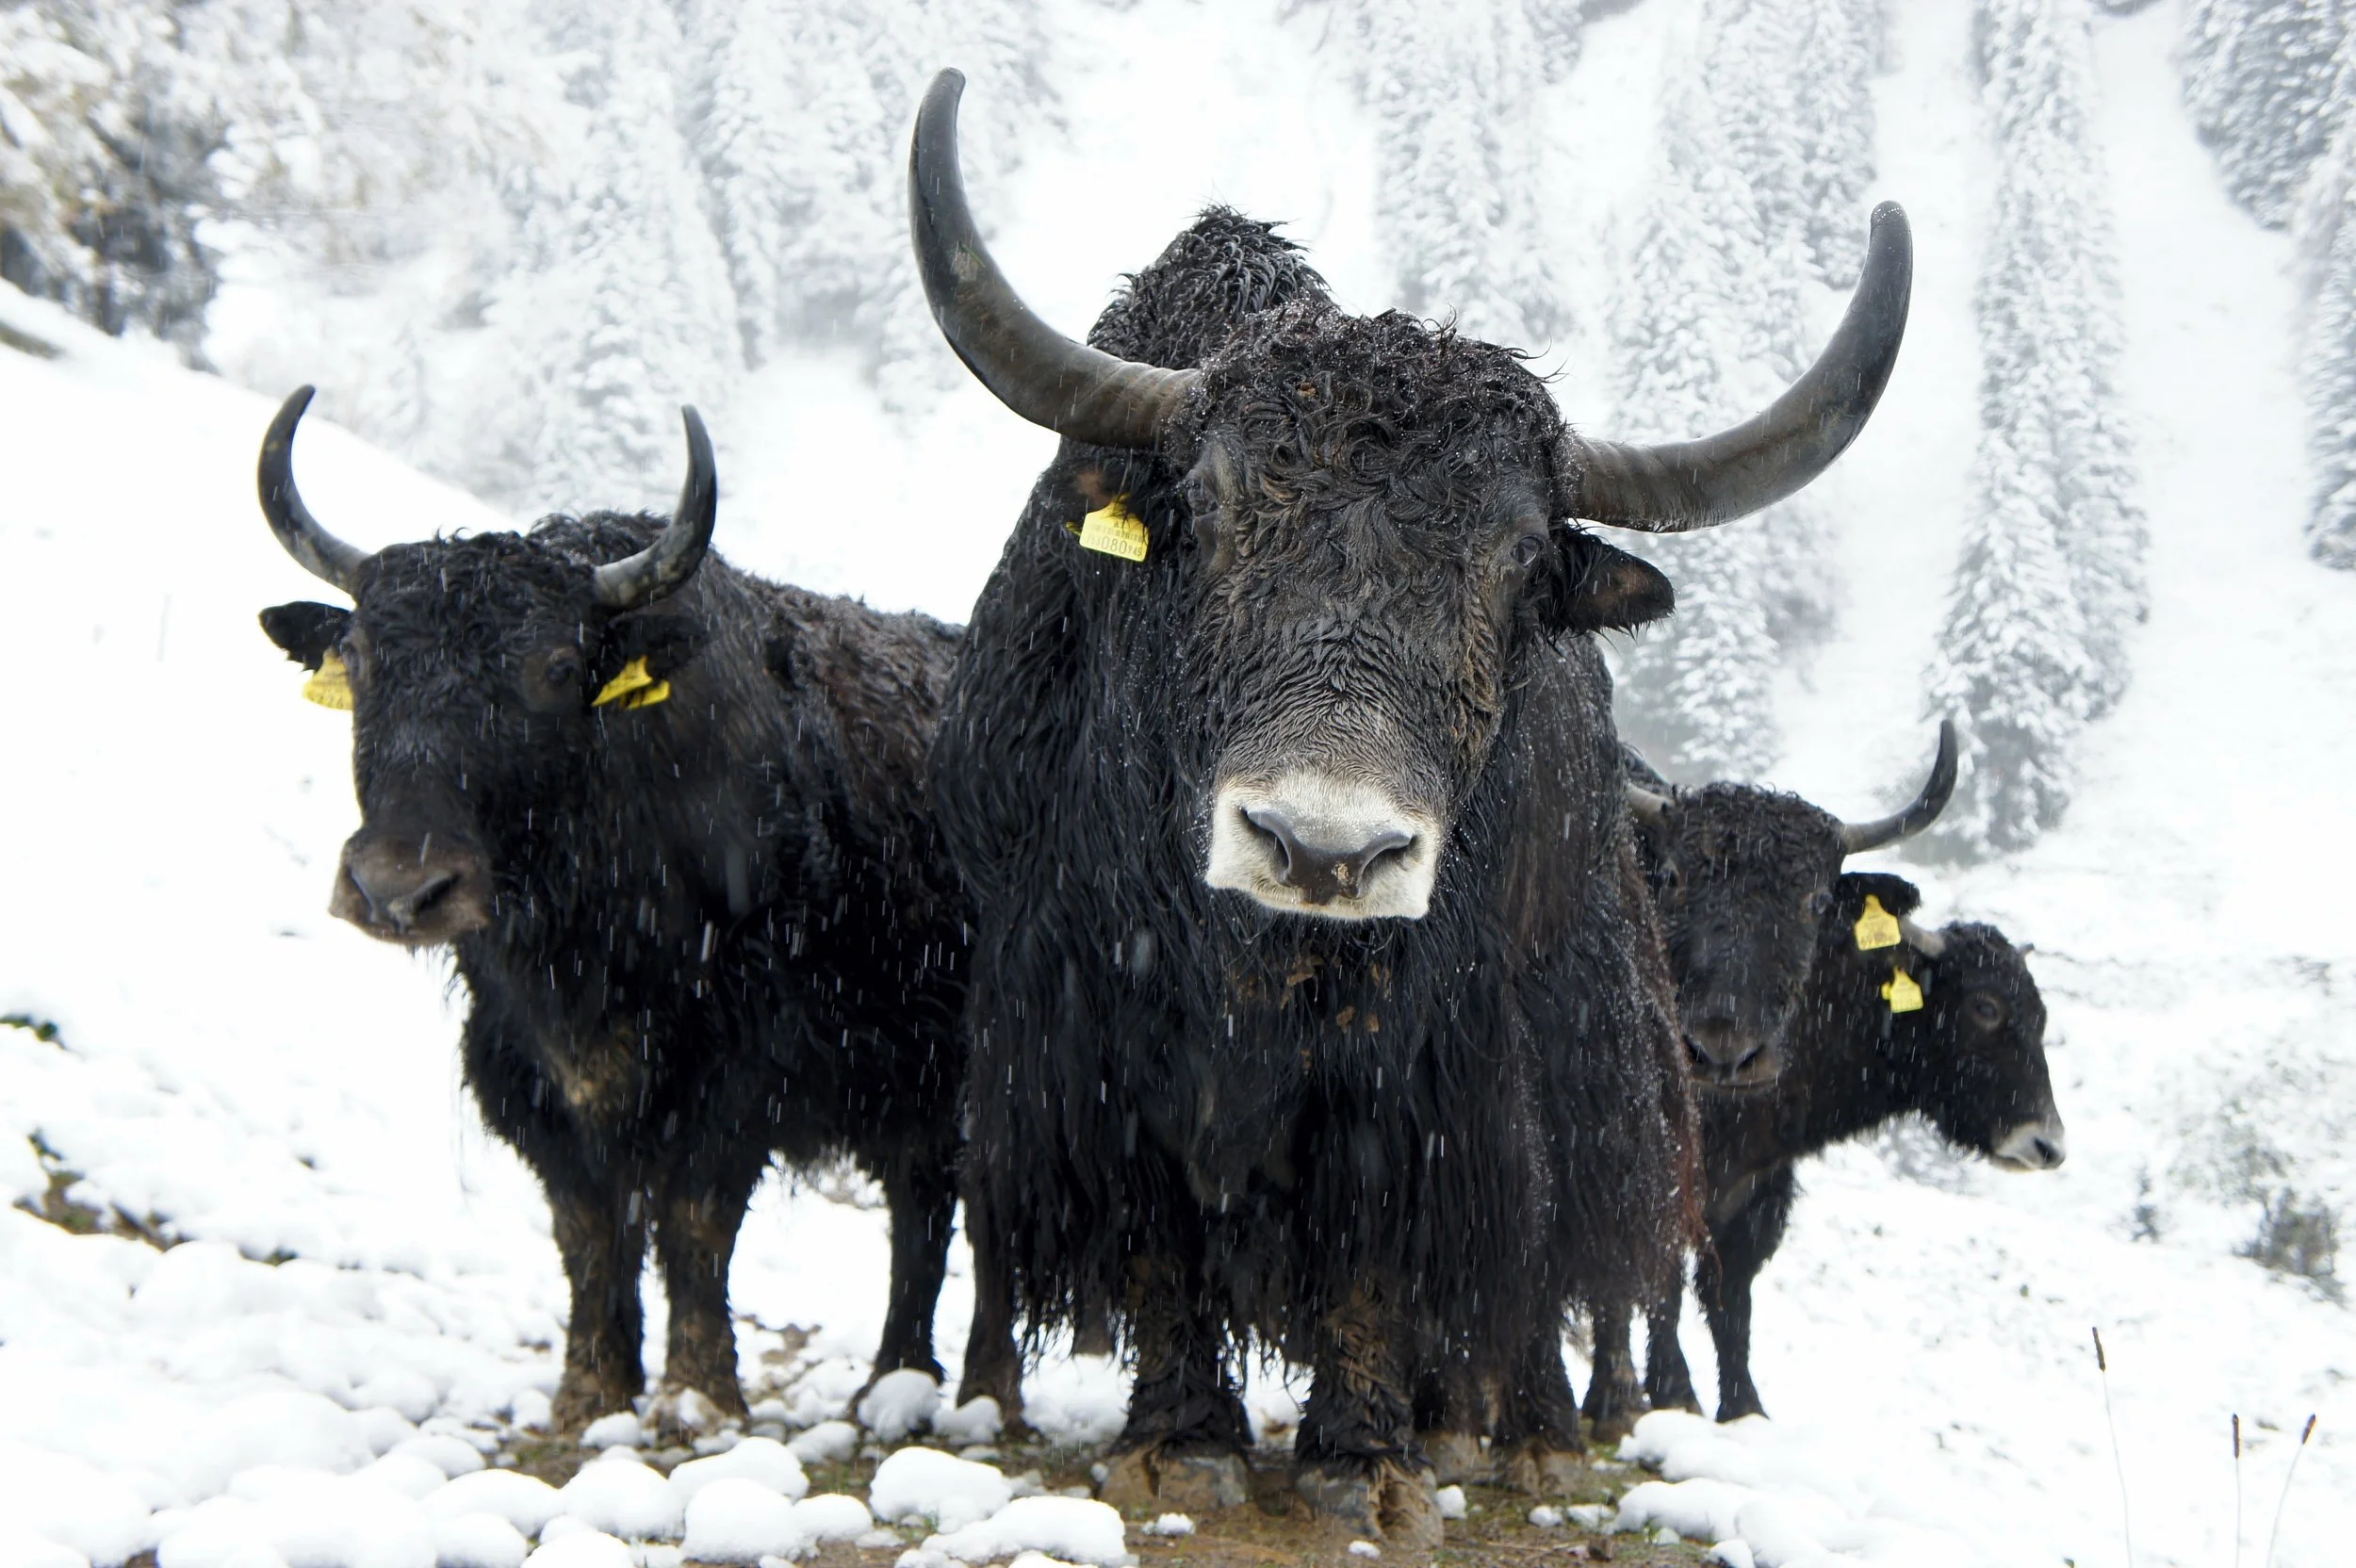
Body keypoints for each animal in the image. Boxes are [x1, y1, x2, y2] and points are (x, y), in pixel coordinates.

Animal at [252, 392, 1014, 1432]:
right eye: (362, 657)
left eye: (556, 665)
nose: (398, 888)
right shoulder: (524, 1068)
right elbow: (587, 1224)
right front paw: (589, 1392)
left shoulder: (739, 1065)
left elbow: (694, 1220)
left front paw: (700, 1399)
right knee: (921, 1203)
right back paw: (893, 1382)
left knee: (988, 1210)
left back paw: (983, 1394)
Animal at [909, 66, 1911, 1546]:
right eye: (1207, 508)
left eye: (1519, 564)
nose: (1321, 850)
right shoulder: (1086, 1017)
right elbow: (1160, 1227)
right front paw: (1182, 1440)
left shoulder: (1436, 1053)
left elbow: (1382, 1232)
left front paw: (1362, 1460)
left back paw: (1518, 1433)